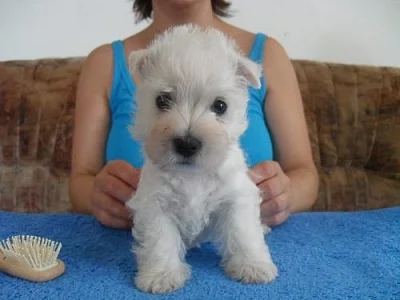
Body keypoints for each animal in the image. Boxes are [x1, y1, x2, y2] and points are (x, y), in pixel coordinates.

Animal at [126, 24, 276, 294]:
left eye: (220, 106)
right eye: (162, 100)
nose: (187, 144)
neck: (192, 175)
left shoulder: (236, 198)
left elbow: (244, 233)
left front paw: (253, 266)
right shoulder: (156, 204)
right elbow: (160, 240)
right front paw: (162, 275)